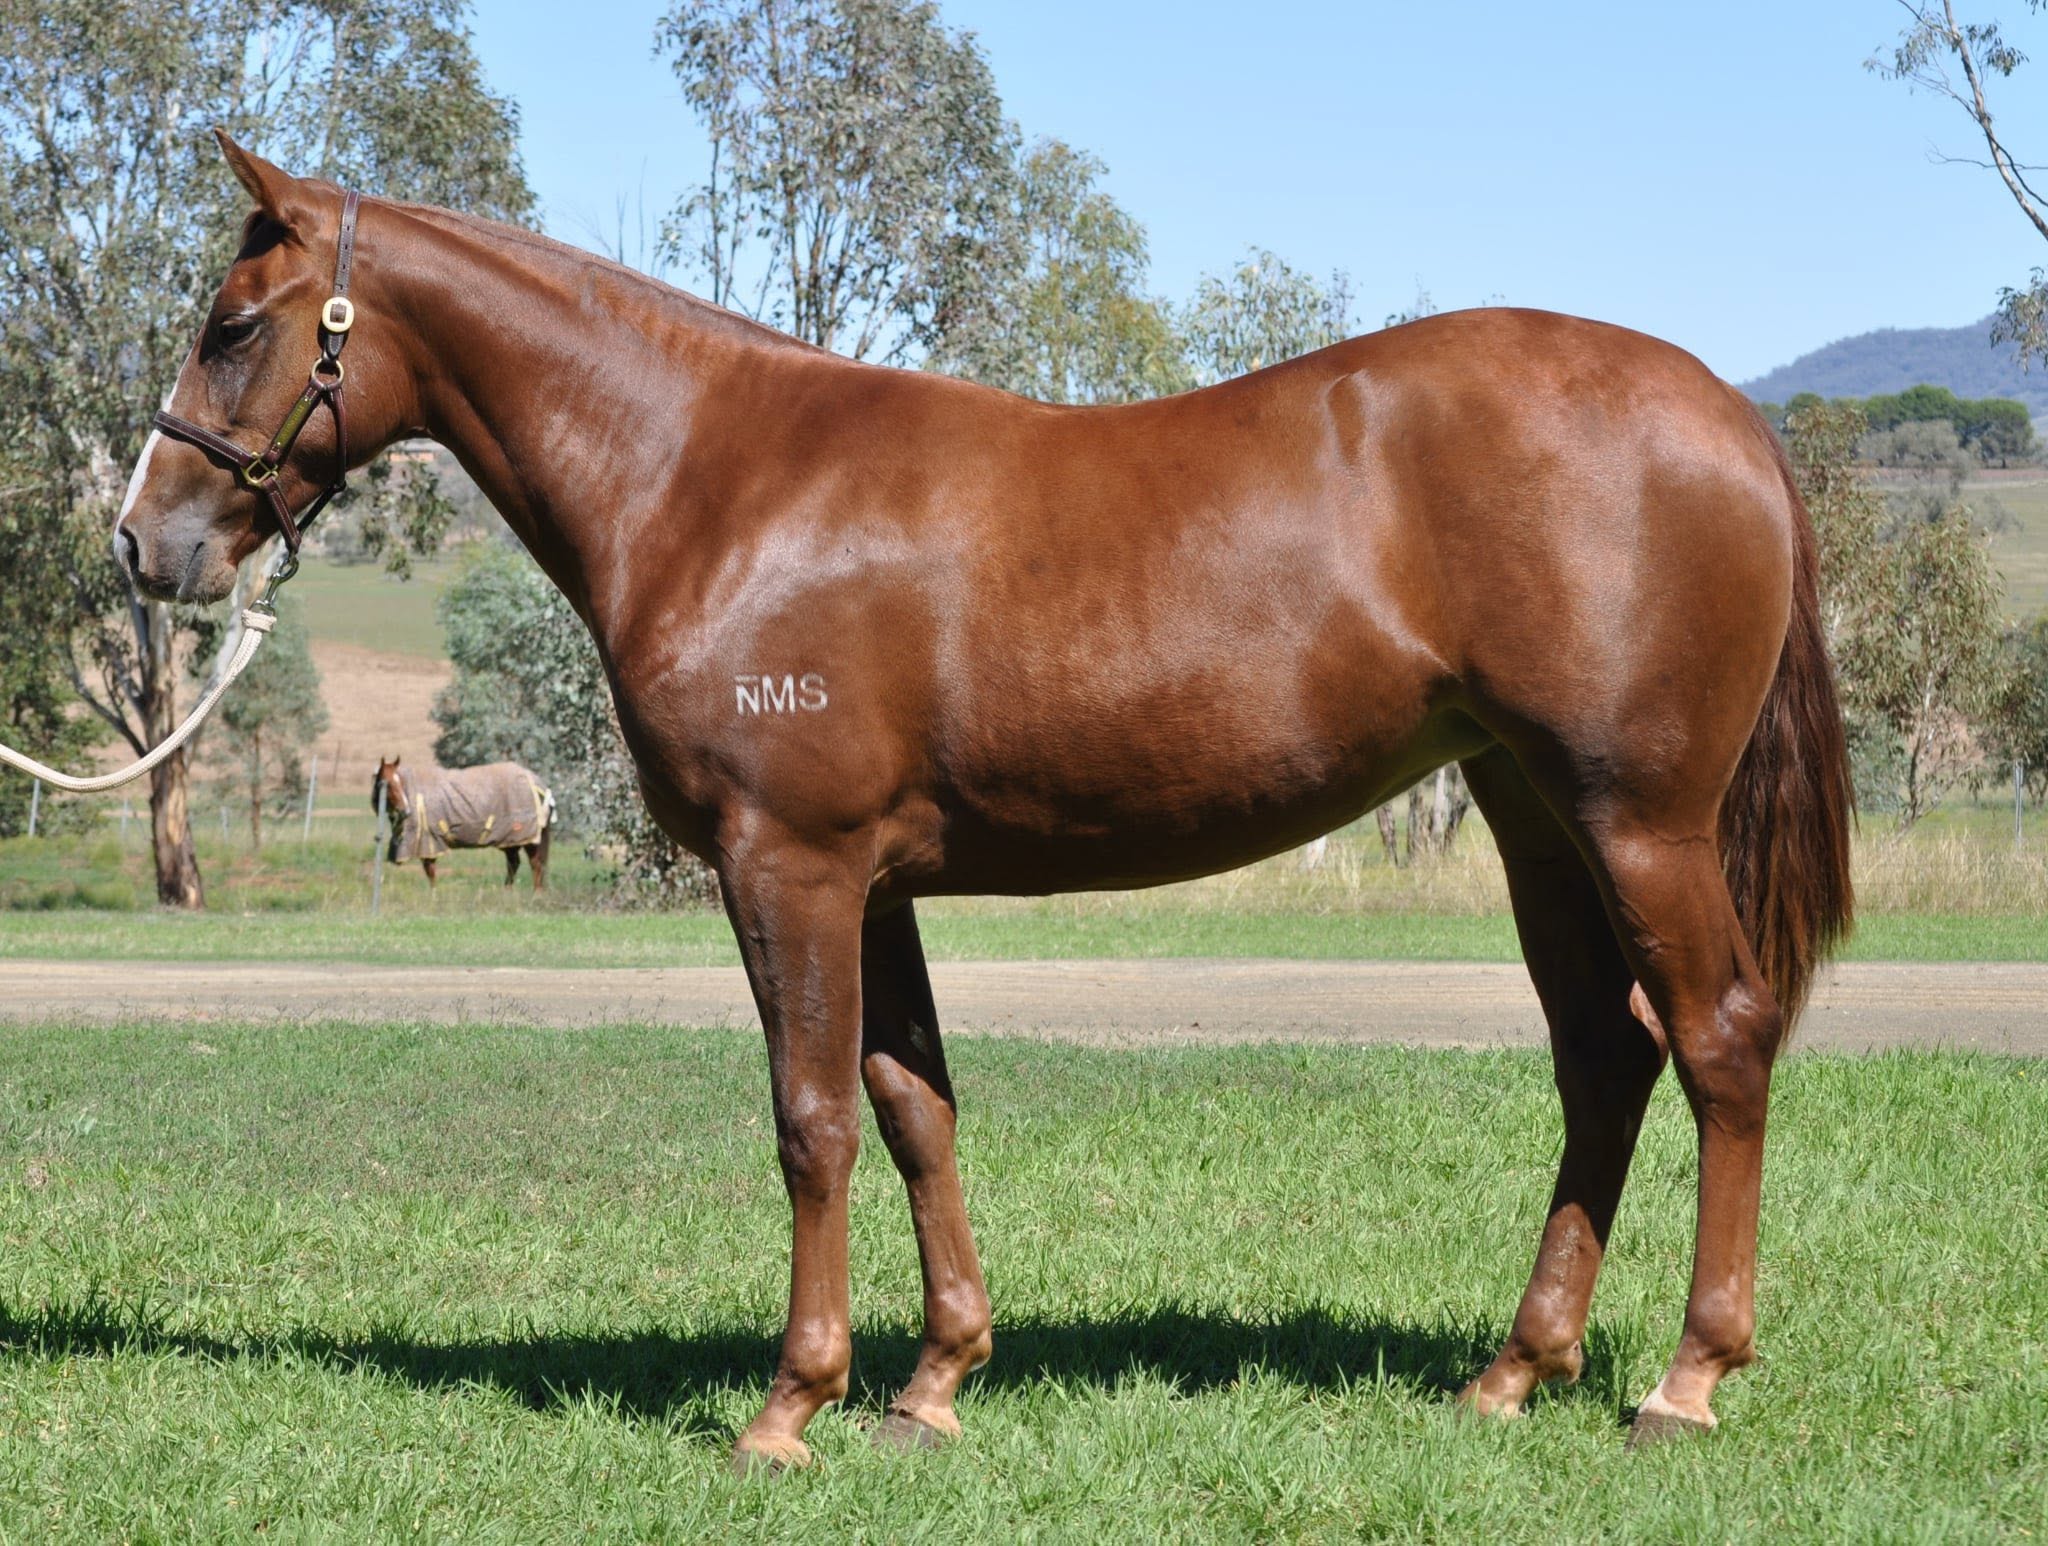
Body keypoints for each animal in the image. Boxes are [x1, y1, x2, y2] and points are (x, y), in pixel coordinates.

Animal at [372, 756, 553, 891]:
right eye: (387, 784)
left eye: (399, 782)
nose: (406, 811)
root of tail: (536, 782)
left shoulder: (429, 841)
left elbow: (430, 872)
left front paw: (433, 896)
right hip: (510, 839)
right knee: (514, 864)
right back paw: (507, 891)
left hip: (529, 838)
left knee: (536, 865)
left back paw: (535, 895)